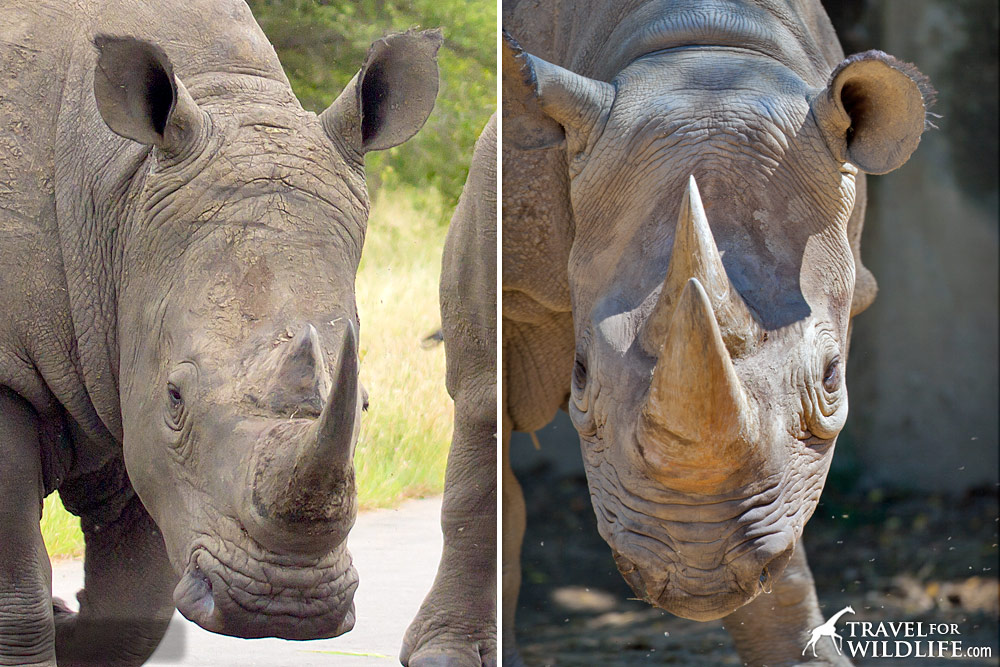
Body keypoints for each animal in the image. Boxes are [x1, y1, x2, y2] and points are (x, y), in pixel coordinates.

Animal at [0, 2, 440, 664]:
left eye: (365, 404)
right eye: (175, 399)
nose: (284, 604)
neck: (118, 197)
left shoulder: (124, 365)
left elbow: (134, 607)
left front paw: (68, 621)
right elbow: (17, 602)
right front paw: (48, 616)